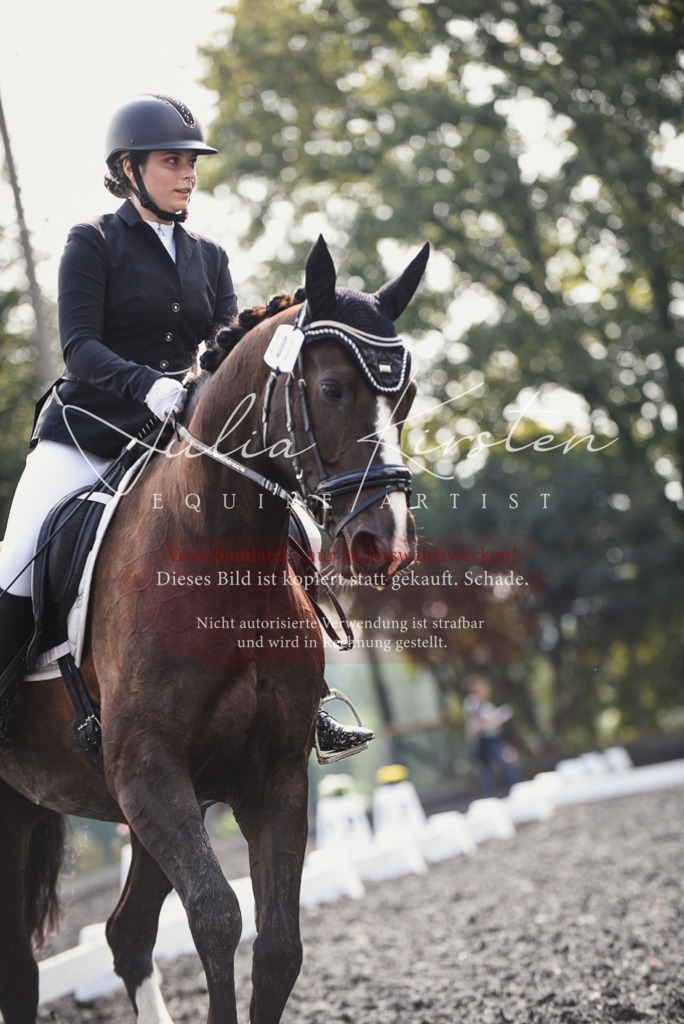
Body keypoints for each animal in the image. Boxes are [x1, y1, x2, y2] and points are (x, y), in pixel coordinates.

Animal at [0, 234, 428, 1024]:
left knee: (126, 933)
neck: (217, 556)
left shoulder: (268, 775)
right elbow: (217, 917)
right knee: (21, 967)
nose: (385, 544)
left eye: (405, 398)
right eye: (332, 390)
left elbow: (278, 946)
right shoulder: (147, 769)